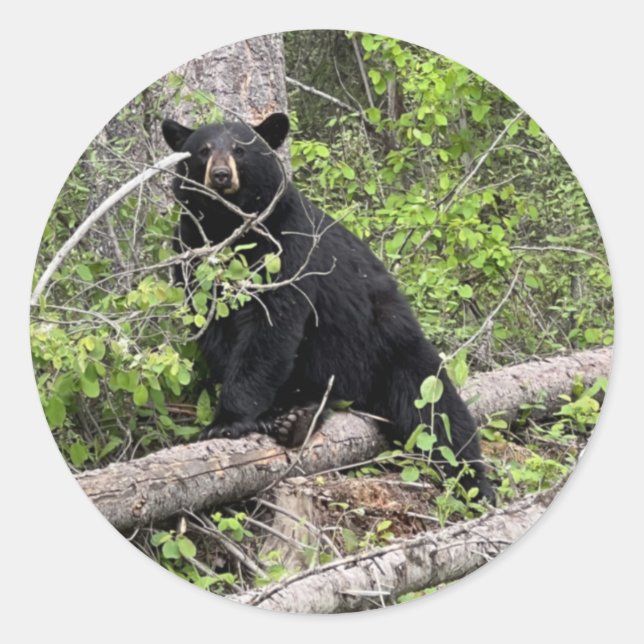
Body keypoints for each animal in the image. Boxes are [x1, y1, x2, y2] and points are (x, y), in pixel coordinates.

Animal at [162, 112, 494, 502]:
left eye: (241, 149)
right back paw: (298, 417)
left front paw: (228, 420)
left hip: (392, 349)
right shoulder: (192, 250)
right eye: (203, 150)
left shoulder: (287, 245)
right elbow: (215, 326)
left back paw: (475, 486)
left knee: (438, 415)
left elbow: (271, 327)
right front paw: (242, 417)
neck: (229, 225)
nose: (221, 175)